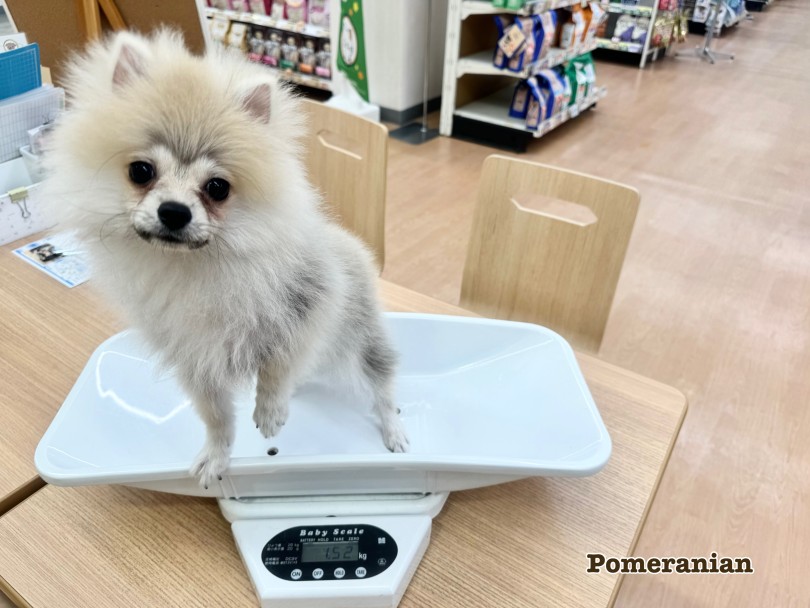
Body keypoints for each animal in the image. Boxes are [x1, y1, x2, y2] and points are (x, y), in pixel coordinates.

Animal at [41, 29, 408, 488]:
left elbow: (278, 368)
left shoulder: (306, 309)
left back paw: (393, 430)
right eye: (141, 171)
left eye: (217, 187)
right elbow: (216, 416)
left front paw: (271, 410)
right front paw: (216, 457)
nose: (174, 212)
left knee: (382, 383)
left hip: (361, 335)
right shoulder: (195, 359)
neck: (194, 268)